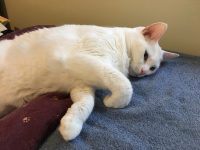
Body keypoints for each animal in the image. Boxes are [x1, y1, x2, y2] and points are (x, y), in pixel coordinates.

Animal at [0, 22, 178, 141]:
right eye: (145, 55)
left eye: (152, 68)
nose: (143, 72)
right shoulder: (80, 60)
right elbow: (124, 85)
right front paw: (112, 101)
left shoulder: (82, 85)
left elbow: (86, 105)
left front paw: (70, 125)